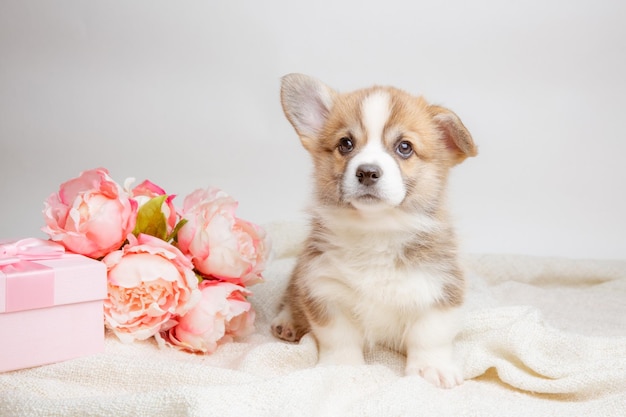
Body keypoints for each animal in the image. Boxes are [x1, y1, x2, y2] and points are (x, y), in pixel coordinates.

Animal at [270, 72, 476, 386]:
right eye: (345, 143)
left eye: (405, 147)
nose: (367, 172)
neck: (377, 230)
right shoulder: (324, 287)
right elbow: (338, 338)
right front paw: (342, 367)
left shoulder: (440, 287)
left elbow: (430, 335)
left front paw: (430, 369)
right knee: (290, 296)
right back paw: (287, 322)